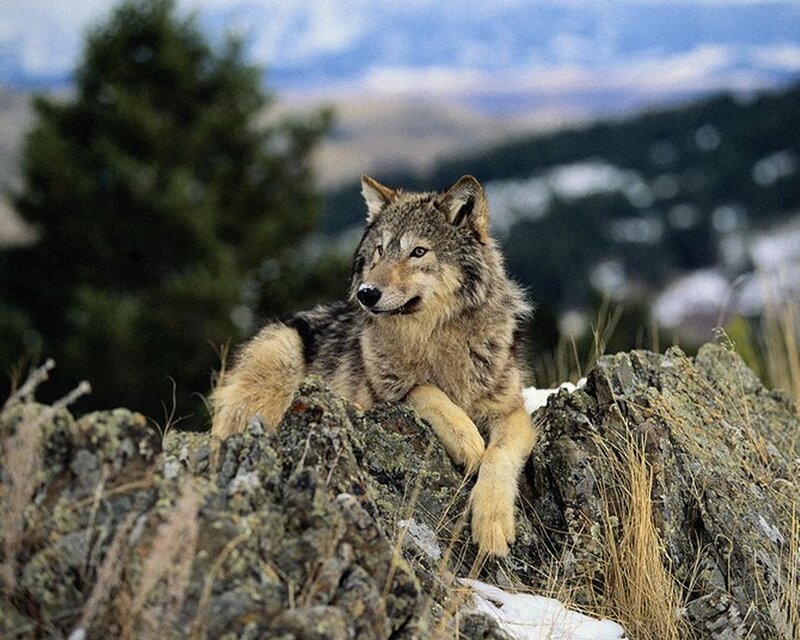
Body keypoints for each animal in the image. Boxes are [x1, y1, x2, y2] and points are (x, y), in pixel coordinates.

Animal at [211, 175, 537, 557]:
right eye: (381, 250)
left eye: (418, 251)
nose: (366, 293)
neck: (434, 340)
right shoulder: (379, 397)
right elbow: (423, 390)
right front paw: (467, 439)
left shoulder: (512, 412)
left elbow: (498, 456)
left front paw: (493, 524)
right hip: (282, 352)